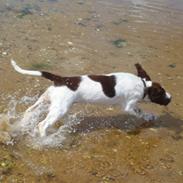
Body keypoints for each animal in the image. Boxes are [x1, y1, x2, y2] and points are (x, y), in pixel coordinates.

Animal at [10, 59, 172, 137]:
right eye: (161, 93)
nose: (171, 98)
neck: (142, 85)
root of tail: (61, 79)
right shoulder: (129, 106)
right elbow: (140, 112)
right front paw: (149, 117)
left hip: (46, 99)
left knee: (29, 111)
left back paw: (22, 124)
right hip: (59, 109)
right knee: (42, 125)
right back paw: (45, 139)